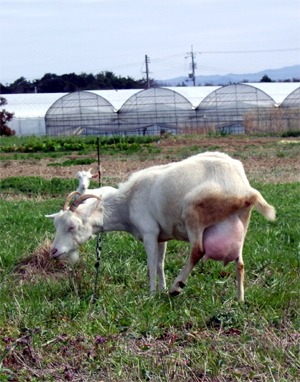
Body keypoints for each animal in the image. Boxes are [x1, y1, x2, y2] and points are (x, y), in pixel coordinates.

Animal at [45, 152, 276, 302]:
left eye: (72, 227)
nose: (53, 252)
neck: (127, 202)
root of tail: (245, 188)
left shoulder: (149, 233)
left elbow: (150, 266)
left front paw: (151, 295)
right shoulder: (162, 237)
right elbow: (160, 265)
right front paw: (161, 291)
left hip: (195, 213)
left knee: (198, 250)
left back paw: (177, 287)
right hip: (241, 223)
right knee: (240, 263)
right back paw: (240, 300)